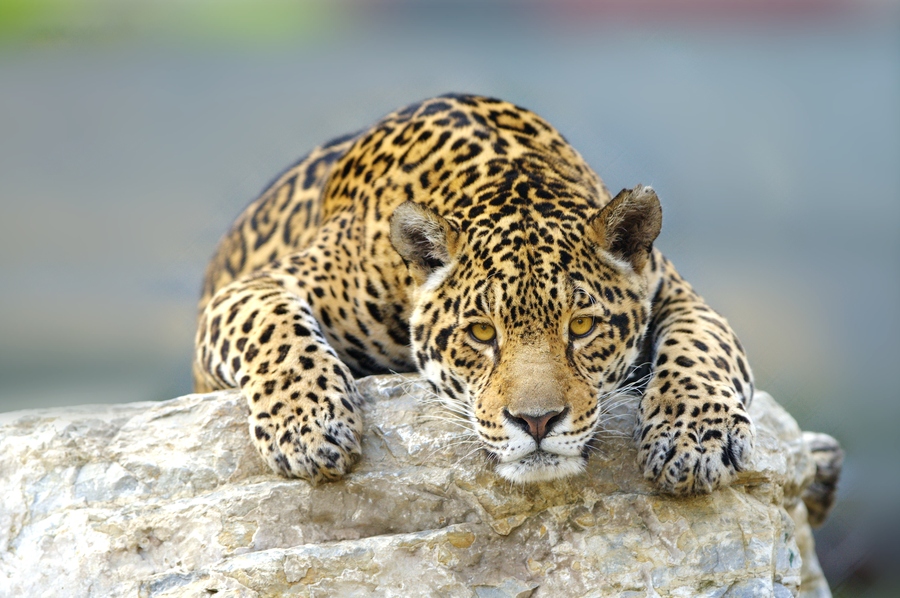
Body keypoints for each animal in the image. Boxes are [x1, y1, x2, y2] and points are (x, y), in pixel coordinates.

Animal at [194, 93, 757, 495]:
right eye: (482, 333)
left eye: (581, 326)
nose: (536, 422)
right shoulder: (260, 286)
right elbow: (274, 327)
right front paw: (310, 428)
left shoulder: (676, 291)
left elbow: (702, 344)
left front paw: (694, 439)